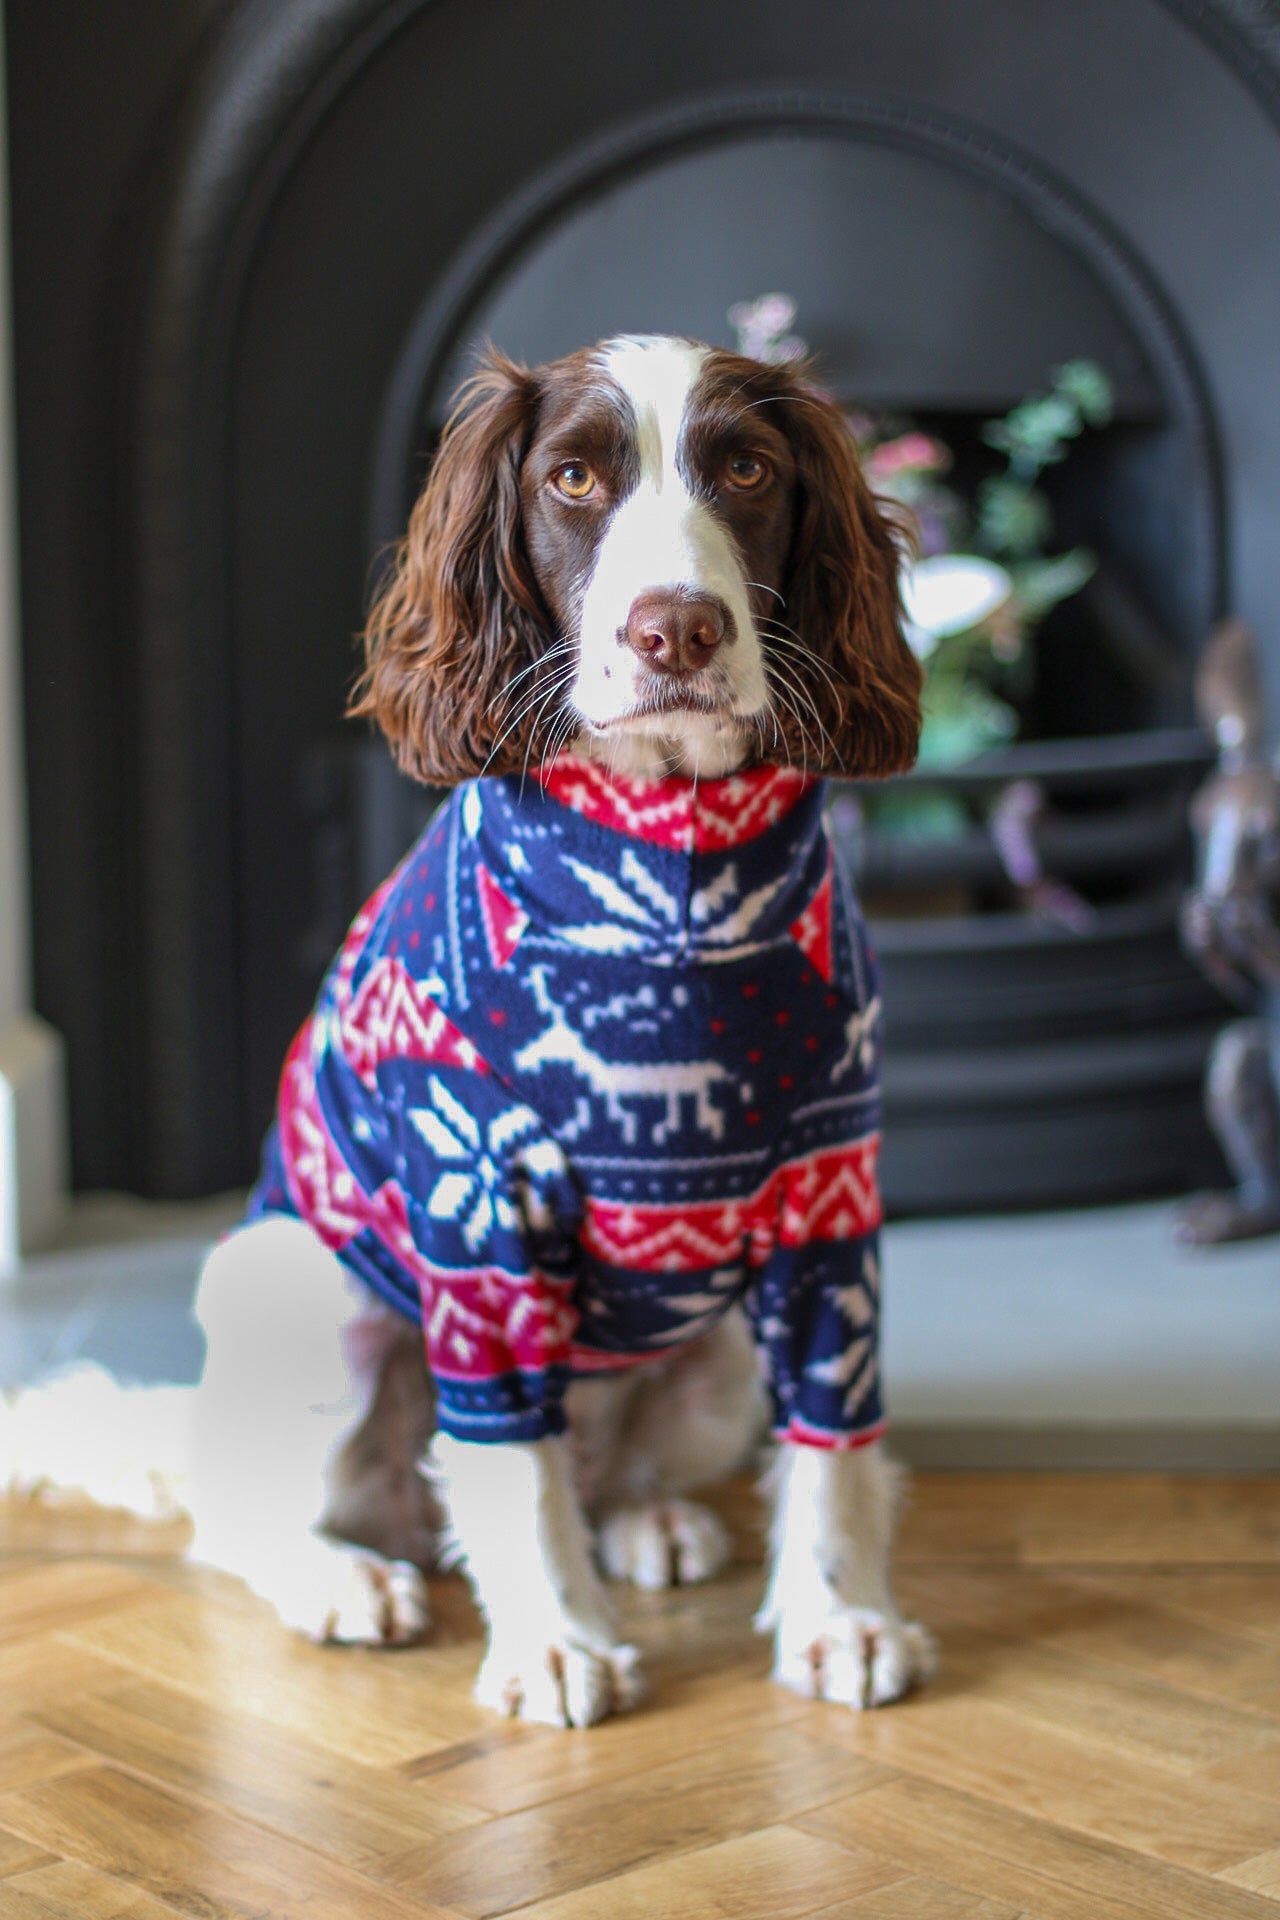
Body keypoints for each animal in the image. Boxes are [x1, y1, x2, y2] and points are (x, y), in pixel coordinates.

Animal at [5, 337, 936, 1735]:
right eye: (571, 477)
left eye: (746, 470)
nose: (676, 628)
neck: (666, 860)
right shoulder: (480, 1208)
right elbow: (510, 1458)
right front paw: (553, 1641)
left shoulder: (827, 1199)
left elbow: (834, 1440)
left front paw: (840, 1621)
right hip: (301, 1284)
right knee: (264, 1514)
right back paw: (338, 1577)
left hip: (710, 1351)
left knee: (601, 1470)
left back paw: (649, 1520)